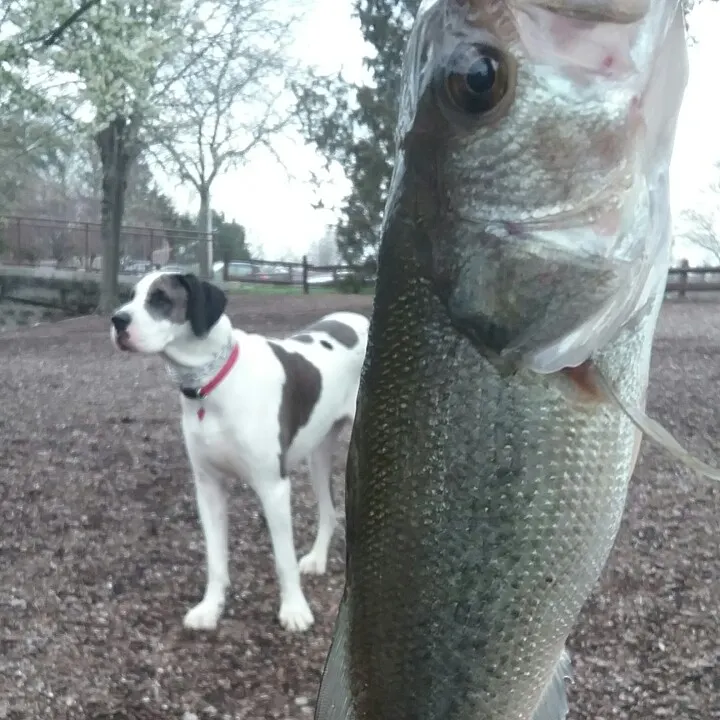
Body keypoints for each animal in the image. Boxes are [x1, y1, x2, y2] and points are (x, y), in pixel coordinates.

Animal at [109, 272, 368, 632]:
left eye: (160, 298)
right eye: (131, 295)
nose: (117, 320)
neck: (211, 384)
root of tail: (361, 318)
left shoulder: (273, 487)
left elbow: (283, 559)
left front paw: (294, 609)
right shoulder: (208, 486)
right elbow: (216, 559)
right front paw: (211, 608)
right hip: (318, 451)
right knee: (328, 511)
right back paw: (317, 559)